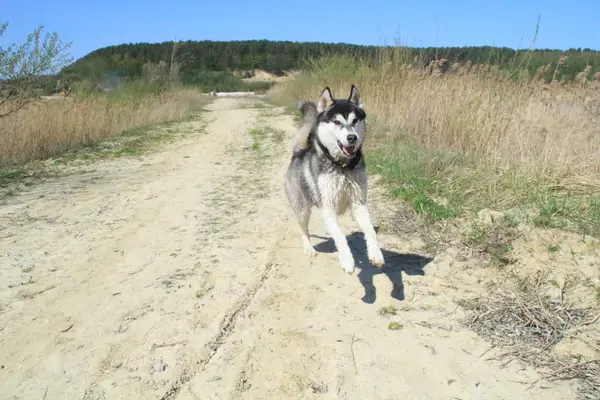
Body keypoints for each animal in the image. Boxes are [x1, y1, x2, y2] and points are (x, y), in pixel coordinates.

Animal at [284, 85, 384, 276]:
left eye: (354, 120)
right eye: (336, 122)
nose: (352, 137)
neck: (343, 168)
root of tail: (299, 152)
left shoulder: (359, 204)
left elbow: (370, 231)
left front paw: (376, 254)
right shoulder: (328, 206)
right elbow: (340, 236)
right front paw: (347, 260)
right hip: (302, 208)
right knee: (304, 229)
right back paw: (309, 247)